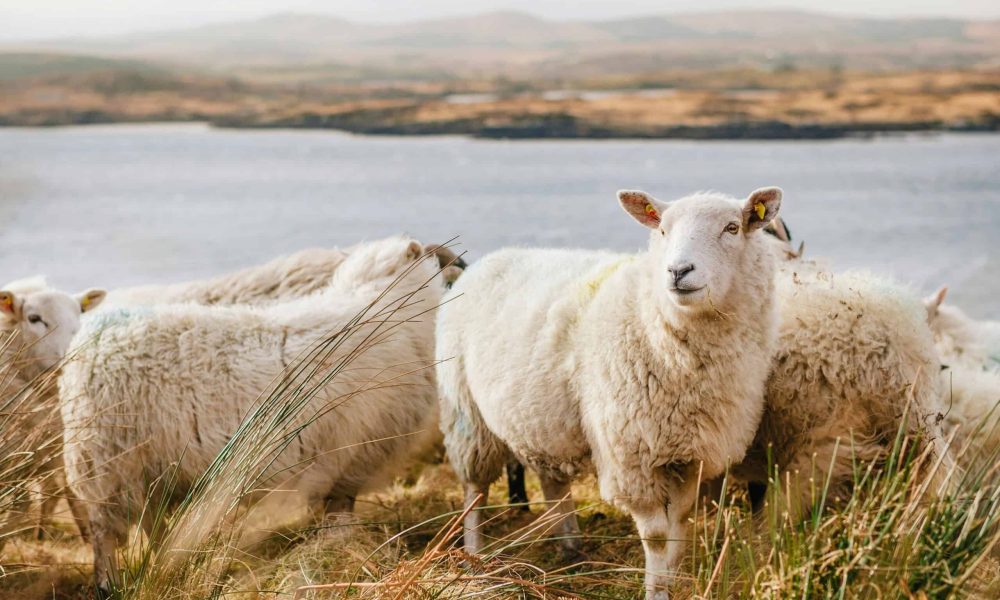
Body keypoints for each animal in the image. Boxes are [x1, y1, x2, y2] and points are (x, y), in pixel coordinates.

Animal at [59, 237, 453, 589]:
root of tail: (87, 344)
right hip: (107, 464)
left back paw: (165, 567)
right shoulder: (346, 460)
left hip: (145, 470)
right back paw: (109, 584)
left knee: (151, 525)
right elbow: (339, 517)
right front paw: (340, 552)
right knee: (104, 535)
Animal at [437, 187, 784, 600]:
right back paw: (475, 560)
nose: (678, 272)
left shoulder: (691, 455)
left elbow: (680, 525)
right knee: (475, 489)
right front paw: (656, 590)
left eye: (732, 228)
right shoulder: (632, 457)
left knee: (554, 482)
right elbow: (657, 537)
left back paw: (571, 550)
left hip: (541, 420)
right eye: (662, 230)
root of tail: (485, 261)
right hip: (466, 412)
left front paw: (674, 577)